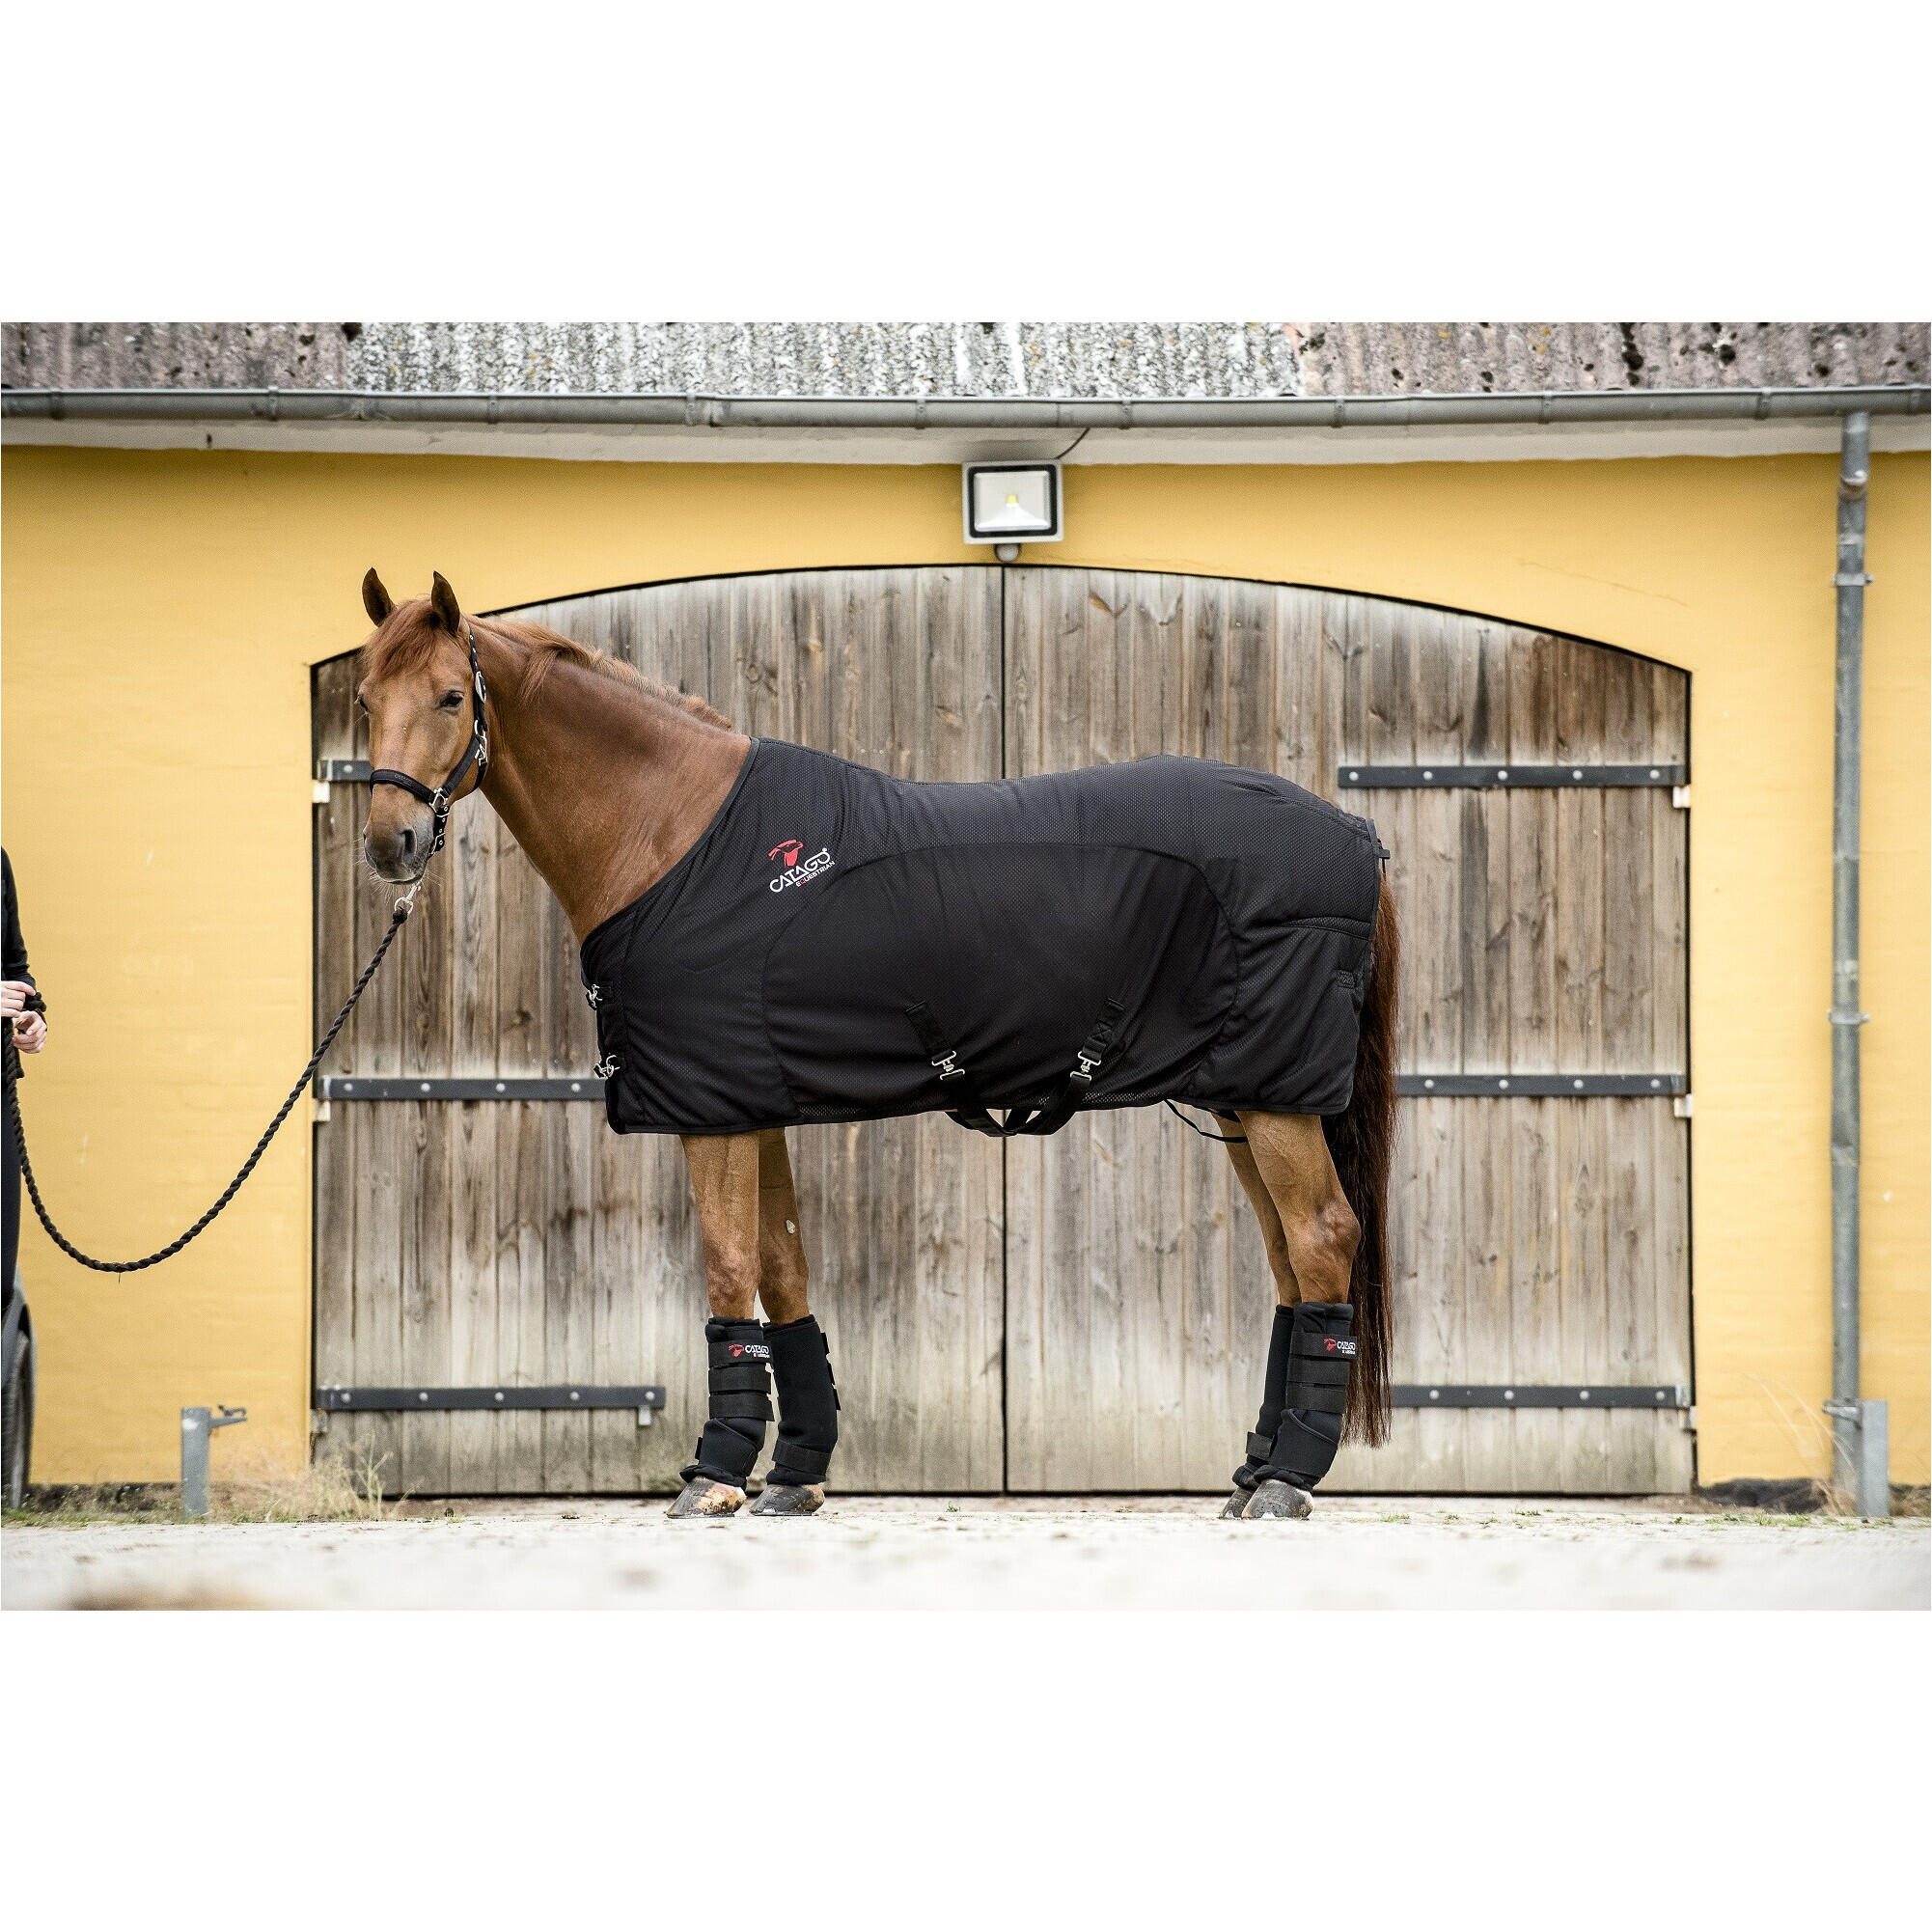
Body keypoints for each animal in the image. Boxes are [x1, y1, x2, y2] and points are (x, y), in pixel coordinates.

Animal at [352, 570, 1399, 1521]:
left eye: (450, 696)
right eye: (362, 698)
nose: (390, 842)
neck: (678, 837)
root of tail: (1355, 831)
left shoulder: (712, 1111)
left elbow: (729, 1268)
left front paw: (715, 1476)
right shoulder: (752, 1099)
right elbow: (781, 1271)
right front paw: (794, 1477)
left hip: (1275, 1100)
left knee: (1320, 1238)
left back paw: (1287, 1481)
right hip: (1248, 1094)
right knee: (1288, 1261)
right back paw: (1255, 1472)